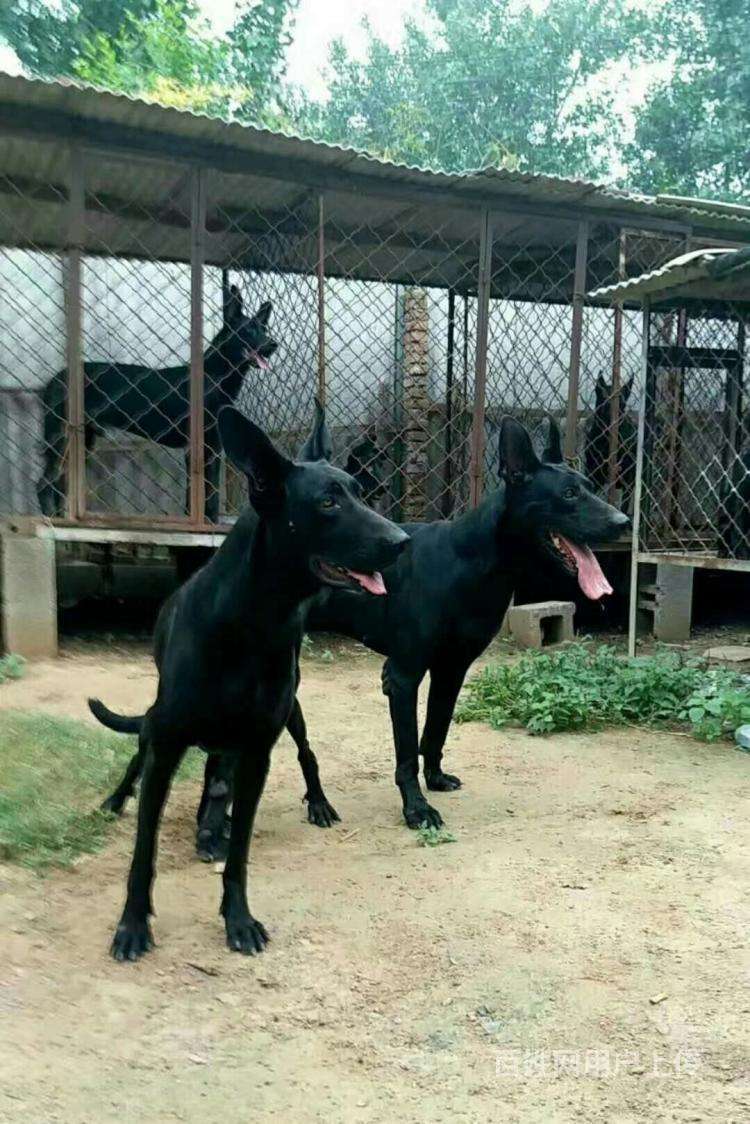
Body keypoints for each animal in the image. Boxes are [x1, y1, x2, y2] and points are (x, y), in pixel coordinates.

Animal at [93, 404, 411, 957]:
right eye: (328, 501)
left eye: (359, 490)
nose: (402, 541)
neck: (252, 619)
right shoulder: (167, 744)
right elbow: (143, 849)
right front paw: (132, 925)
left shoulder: (258, 751)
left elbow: (239, 852)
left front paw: (238, 919)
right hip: (160, 725)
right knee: (147, 759)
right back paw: (125, 800)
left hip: (292, 715)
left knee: (303, 754)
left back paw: (310, 804)